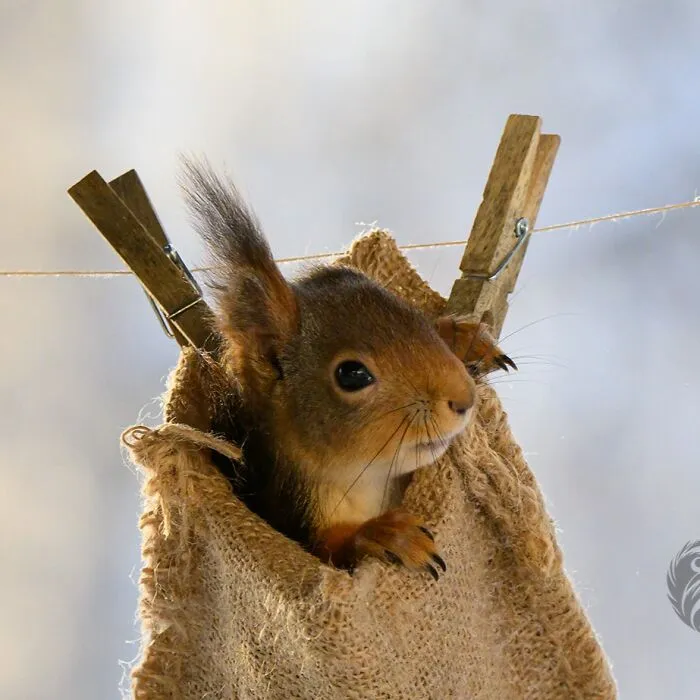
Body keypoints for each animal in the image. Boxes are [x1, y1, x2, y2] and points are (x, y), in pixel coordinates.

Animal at [182, 161, 516, 580]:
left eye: (416, 317)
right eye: (352, 374)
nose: (464, 398)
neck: (367, 480)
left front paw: (462, 338)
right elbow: (333, 552)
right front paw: (385, 535)